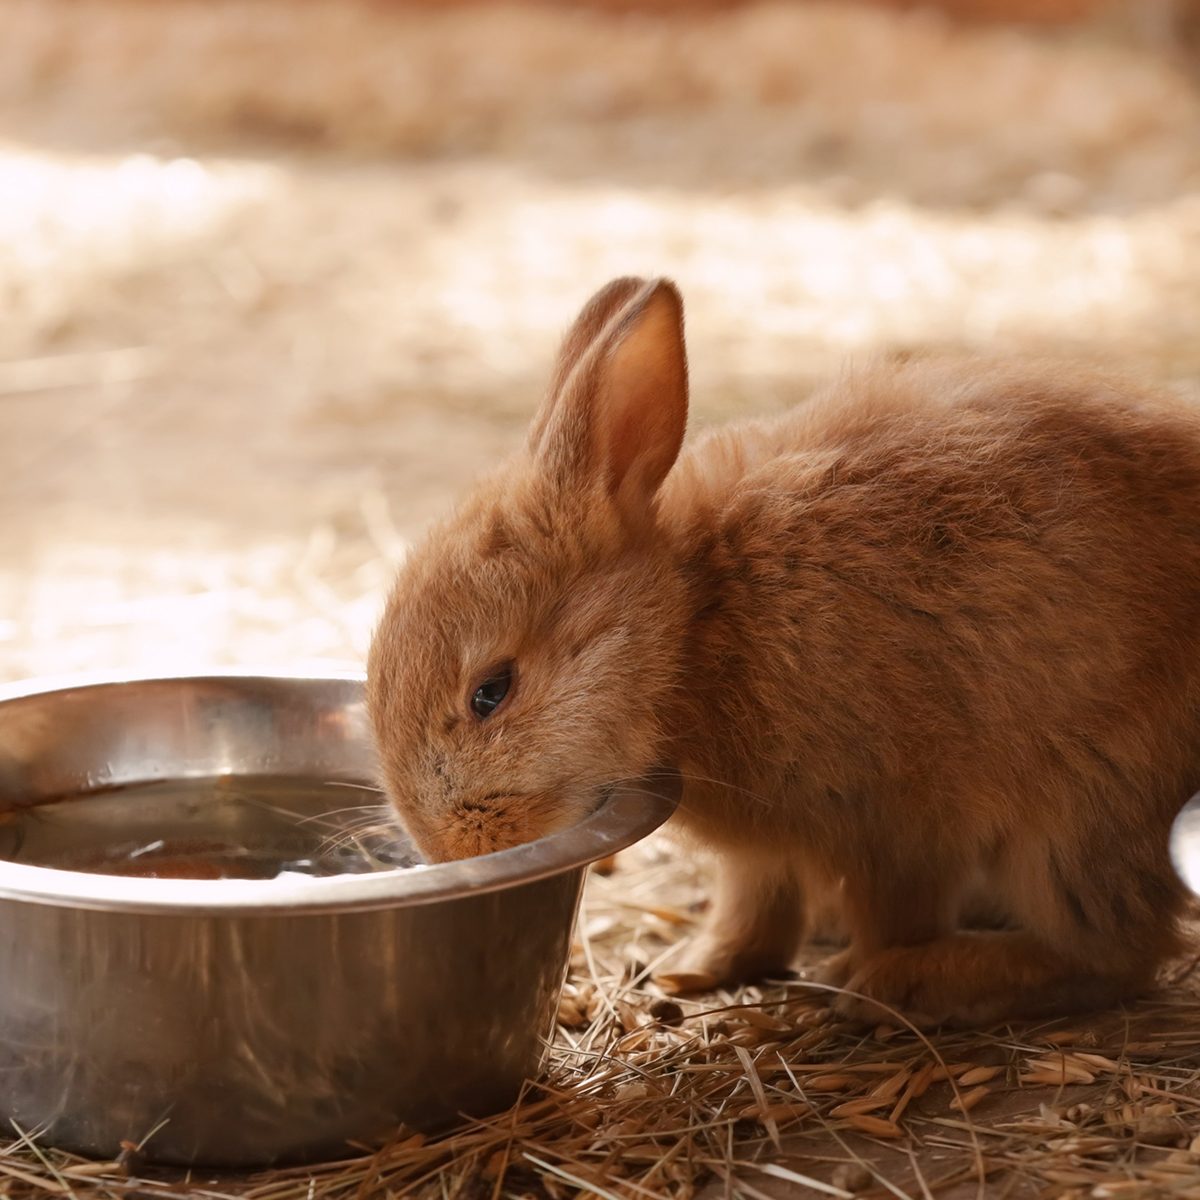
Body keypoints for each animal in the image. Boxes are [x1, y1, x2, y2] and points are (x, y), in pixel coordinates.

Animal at [368, 276, 1200, 1027]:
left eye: (492, 691)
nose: (447, 847)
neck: (694, 622)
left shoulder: (894, 823)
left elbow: (893, 911)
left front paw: (870, 978)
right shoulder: (766, 854)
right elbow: (754, 904)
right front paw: (691, 970)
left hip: (1076, 809)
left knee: (1114, 951)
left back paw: (917, 983)